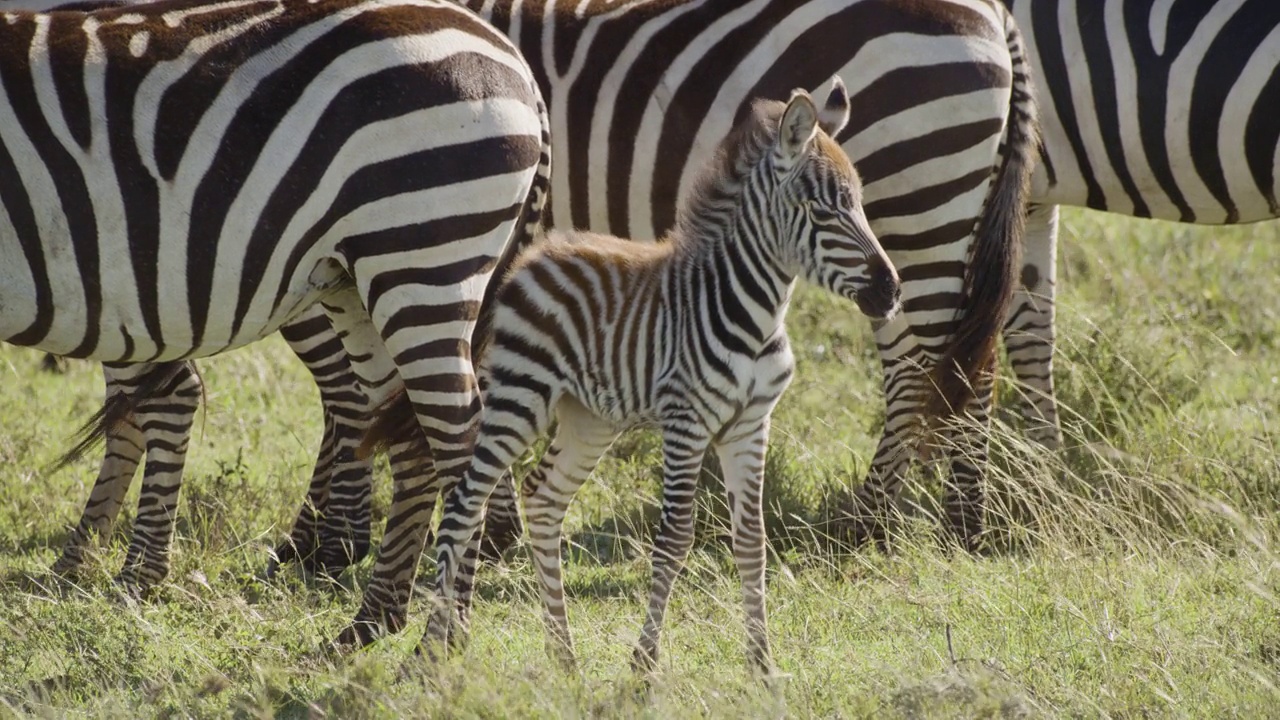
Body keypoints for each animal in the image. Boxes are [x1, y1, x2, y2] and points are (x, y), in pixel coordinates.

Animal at [0, 0, 550, 640]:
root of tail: (510, 55)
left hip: (421, 252)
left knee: (455, 439)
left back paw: (438, 636)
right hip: (357, 278)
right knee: (403, 430)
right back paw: (371, 618)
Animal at [419, 78, 901, 671]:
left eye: (857, 204)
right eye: (818, 208)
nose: (891, 291)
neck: (757, 315)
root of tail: (534, 255)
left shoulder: (750, 426)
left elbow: (752, 541)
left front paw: (763, 667)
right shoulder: (685, 422)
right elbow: (674, 541)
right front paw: (643, 667)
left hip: (589, 418)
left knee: (543, 497)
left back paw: (564, 657)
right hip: (520, 395)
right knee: (465, 504)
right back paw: (427, 654)